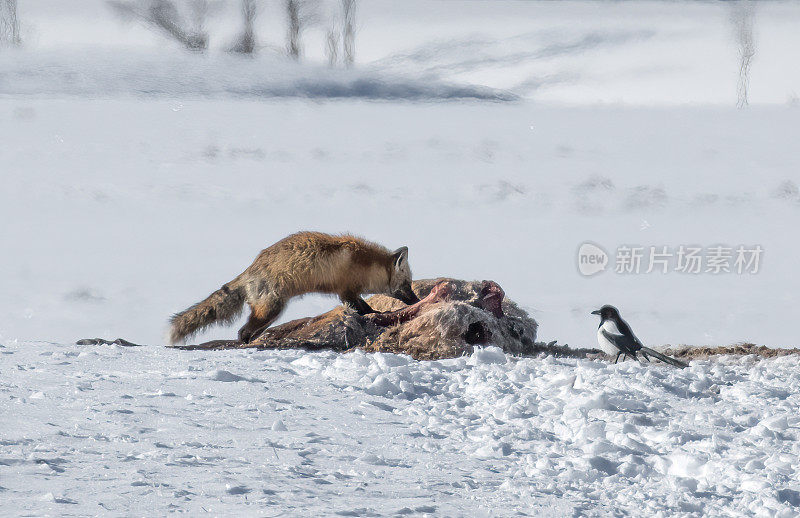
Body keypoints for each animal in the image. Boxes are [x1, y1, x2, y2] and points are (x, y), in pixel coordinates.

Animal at [168, 234, 418, 348]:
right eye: (407, 284)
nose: (417, 299)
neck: (364, 264)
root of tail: (250, 269)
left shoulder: (347, 293)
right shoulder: (346, 291)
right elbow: (364, 309)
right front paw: (376, 315)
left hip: (270, 314)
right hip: (270, 310)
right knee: (242, 332)